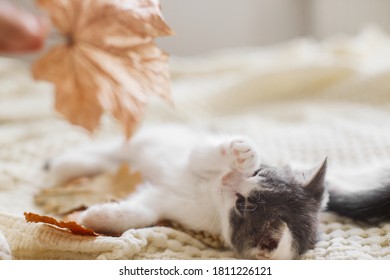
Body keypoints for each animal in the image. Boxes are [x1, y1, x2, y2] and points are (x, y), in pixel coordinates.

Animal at [45, 123, 390, 260]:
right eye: (258, 172)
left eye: (241, 205)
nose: (228, 179)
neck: (208, 195)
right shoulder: (194, 159)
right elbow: (203, 154)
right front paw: (240, 153)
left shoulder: (169, 204)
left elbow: (141, 211)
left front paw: (98, 217)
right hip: (154, 138)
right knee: (118, 148)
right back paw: (67, 164)